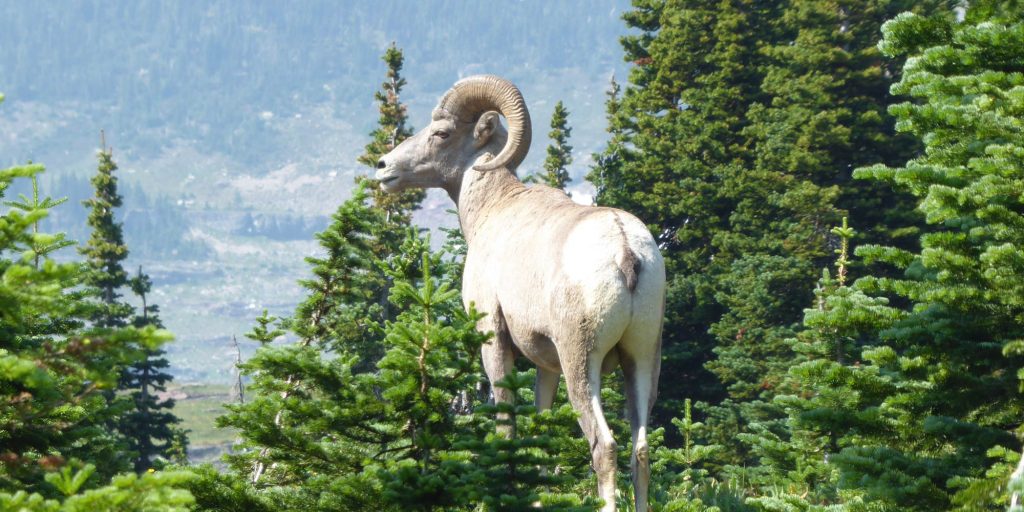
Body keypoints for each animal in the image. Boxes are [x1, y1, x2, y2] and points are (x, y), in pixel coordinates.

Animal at [375, 75, 665, 512]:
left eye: (441, 133)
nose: (383, 167)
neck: (493, 210)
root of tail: (626, 250)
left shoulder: (494, 340)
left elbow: (506, 426)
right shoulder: (547, 366)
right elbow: (540, 436)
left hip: (583, 361)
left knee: (604, 444)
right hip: (642, 359)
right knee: (641, 450)